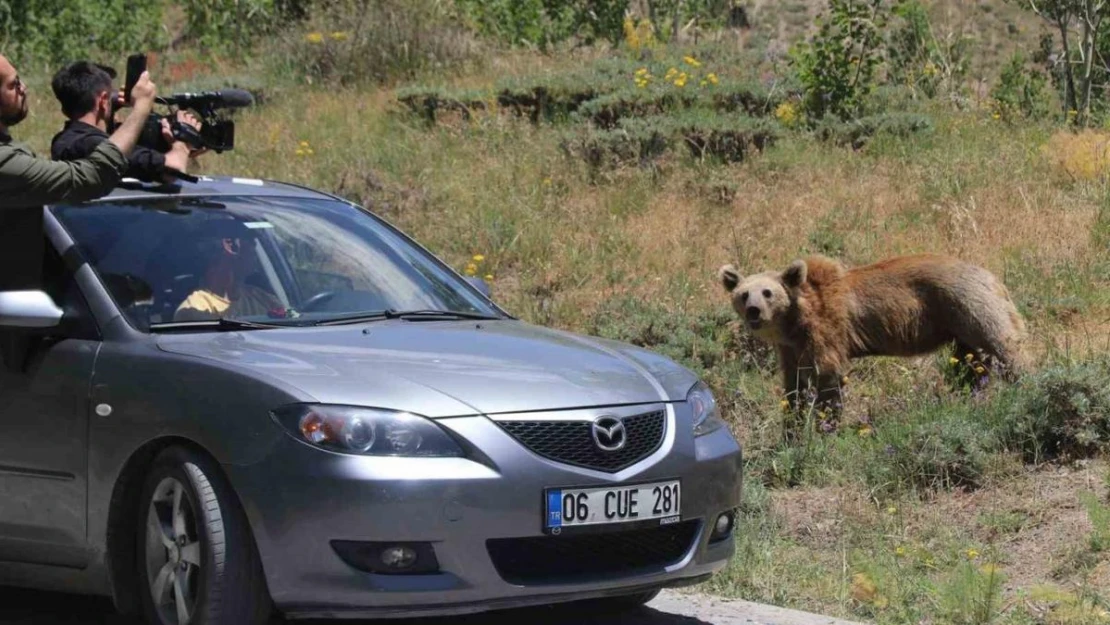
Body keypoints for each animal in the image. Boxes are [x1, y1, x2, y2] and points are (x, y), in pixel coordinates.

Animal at [719, 251, 1030, 417]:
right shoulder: (791, 348)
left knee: (1004, 344)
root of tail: (992, 277)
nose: (754, 311)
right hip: (959, 328)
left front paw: (825, 422)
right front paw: (792, 423)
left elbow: (828, 376)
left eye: (767, 292)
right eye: (744, 294)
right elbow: (794, 384)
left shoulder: (827, 330)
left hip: (970, 307)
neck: (794, 322)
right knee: (970, 364)